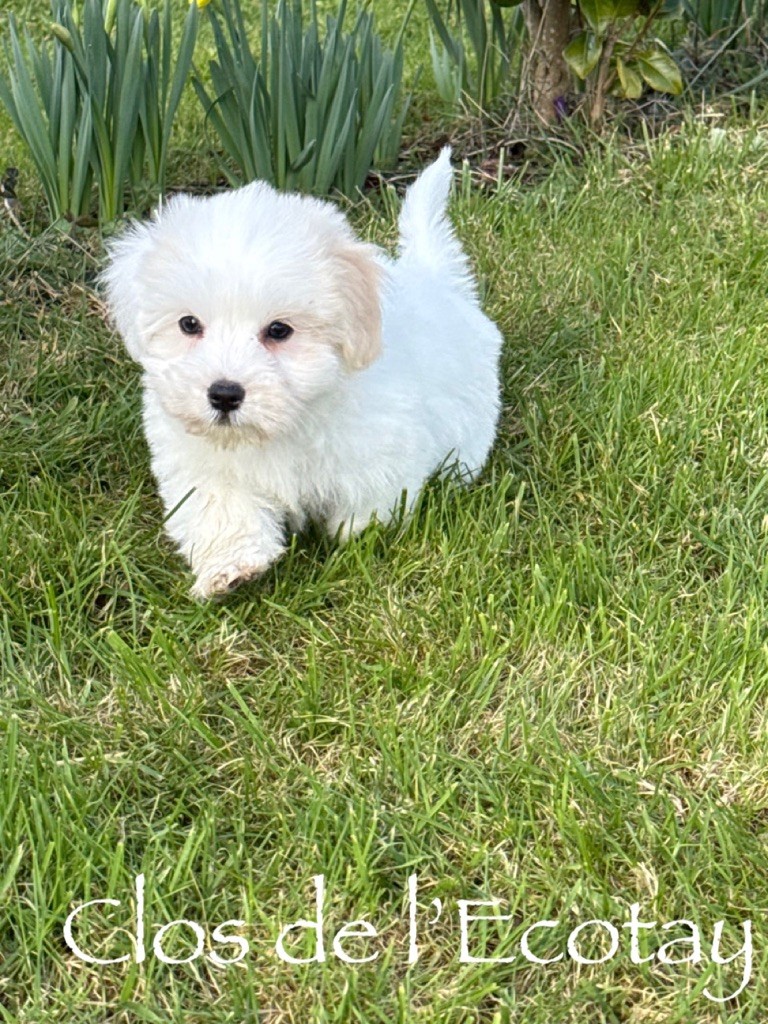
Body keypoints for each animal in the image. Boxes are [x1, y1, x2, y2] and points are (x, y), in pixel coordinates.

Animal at [105, 151, 505, 598]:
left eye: (279, 330)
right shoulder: (207, 467)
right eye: (189, 324)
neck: (280, 426)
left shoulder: (380, 452)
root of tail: (437, 280)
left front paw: (355, 539)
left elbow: (368, 506)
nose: (224, 394)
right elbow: (224, 511)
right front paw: (231, 569)